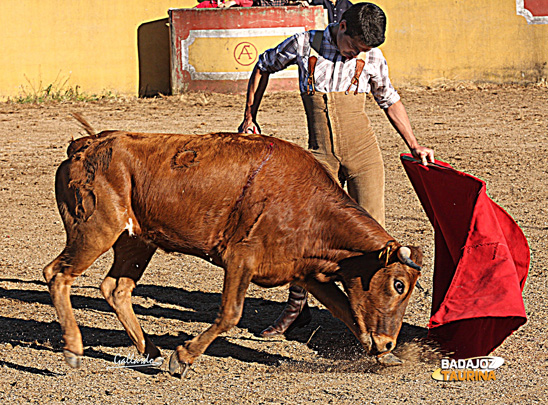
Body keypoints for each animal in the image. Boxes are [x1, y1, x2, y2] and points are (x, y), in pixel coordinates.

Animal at [42, 121, 422, 374]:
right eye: (397, 284)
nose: (388, 341)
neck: (307, 204)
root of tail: (85, 145)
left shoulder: (305, 272)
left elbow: (347, 311)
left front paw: (384, 355)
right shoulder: (241, 259)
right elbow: (230, 313)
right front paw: (183, 357)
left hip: (135, 240)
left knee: (116, 289)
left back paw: (149, 349)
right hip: (95, 229)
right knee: (58, 274)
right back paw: (74, 348)